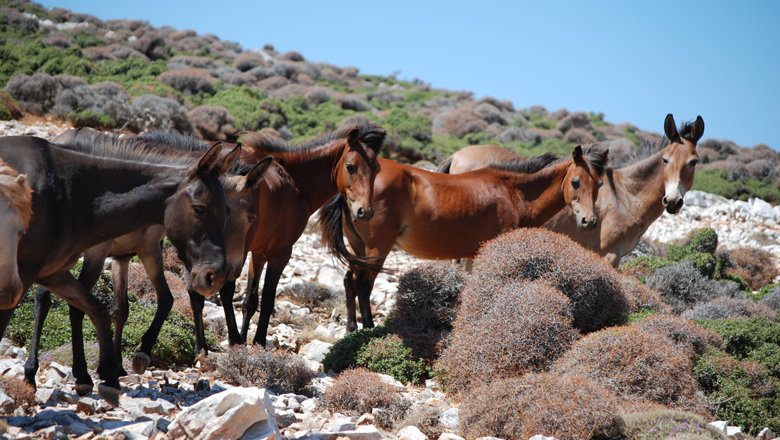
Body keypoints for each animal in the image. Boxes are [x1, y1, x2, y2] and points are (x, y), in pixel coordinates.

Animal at [23, 129, 274, 394]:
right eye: (247, 215)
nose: (230, 270)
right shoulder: (106, 252)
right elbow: (85, 306)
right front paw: (126, 359)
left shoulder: (135, 253)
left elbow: (135, 306)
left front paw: (119, 364)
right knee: (47, 300)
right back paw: (35, 371)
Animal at [210, 121, 386, 348]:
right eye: (350, 166)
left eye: (377, 169)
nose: (365, 212)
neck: (295, 182)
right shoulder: (281, 253)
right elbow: (267, 300)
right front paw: (257, 342)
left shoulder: (258, 253)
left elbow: (250, 300)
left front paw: (245, 339)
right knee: (225, 289)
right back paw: (233, 340)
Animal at [320, 144, 608, 330]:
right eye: (575, 182)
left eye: (600, 184)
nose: (589, 221)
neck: (513, 193)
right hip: (376, 250)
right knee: (363, 285)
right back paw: (369, 328)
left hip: (359, 249)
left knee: (349, 281)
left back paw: (352, 328)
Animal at [442, 113, 704, 264]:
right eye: (665, 160)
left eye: (693, 162)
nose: (673, 202)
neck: (625, 197)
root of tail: (456, 155)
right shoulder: (607, 256)